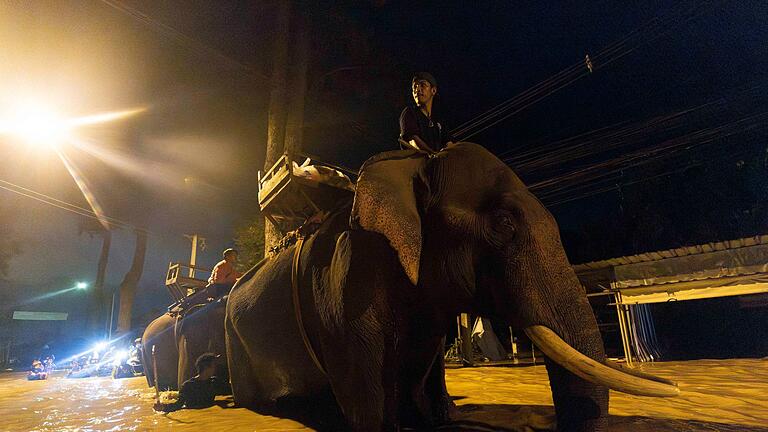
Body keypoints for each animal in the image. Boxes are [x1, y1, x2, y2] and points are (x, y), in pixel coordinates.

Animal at [224, 144, 680, 432]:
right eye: (503, 224)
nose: (674, 385)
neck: (412, 166)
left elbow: (427, 356)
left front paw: (438, 418)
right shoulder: (346, 279)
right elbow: (365, 380)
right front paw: (388, 424)